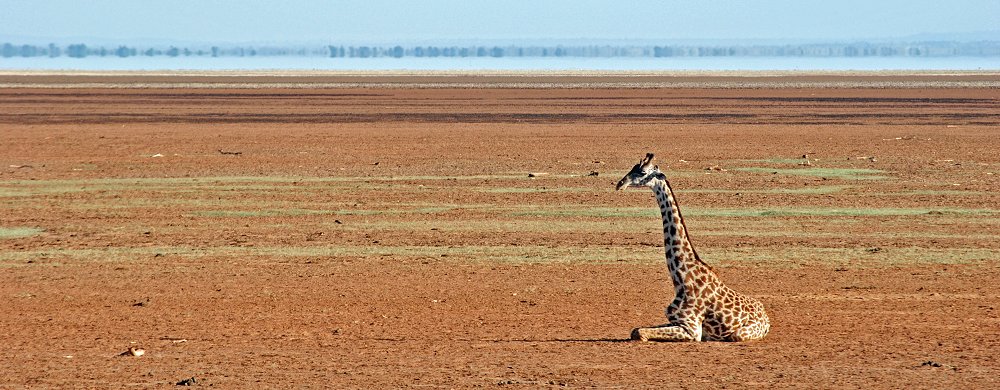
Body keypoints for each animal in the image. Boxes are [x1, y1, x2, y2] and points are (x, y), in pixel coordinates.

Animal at [612, 152, 768, 342]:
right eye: (633, 167)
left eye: (642, 172)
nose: (620, 184)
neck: (681, 280)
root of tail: (767, 318)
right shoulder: (677, 320)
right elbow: (635, 330)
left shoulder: (692, 329)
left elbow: (639, 332)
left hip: (739, 334)